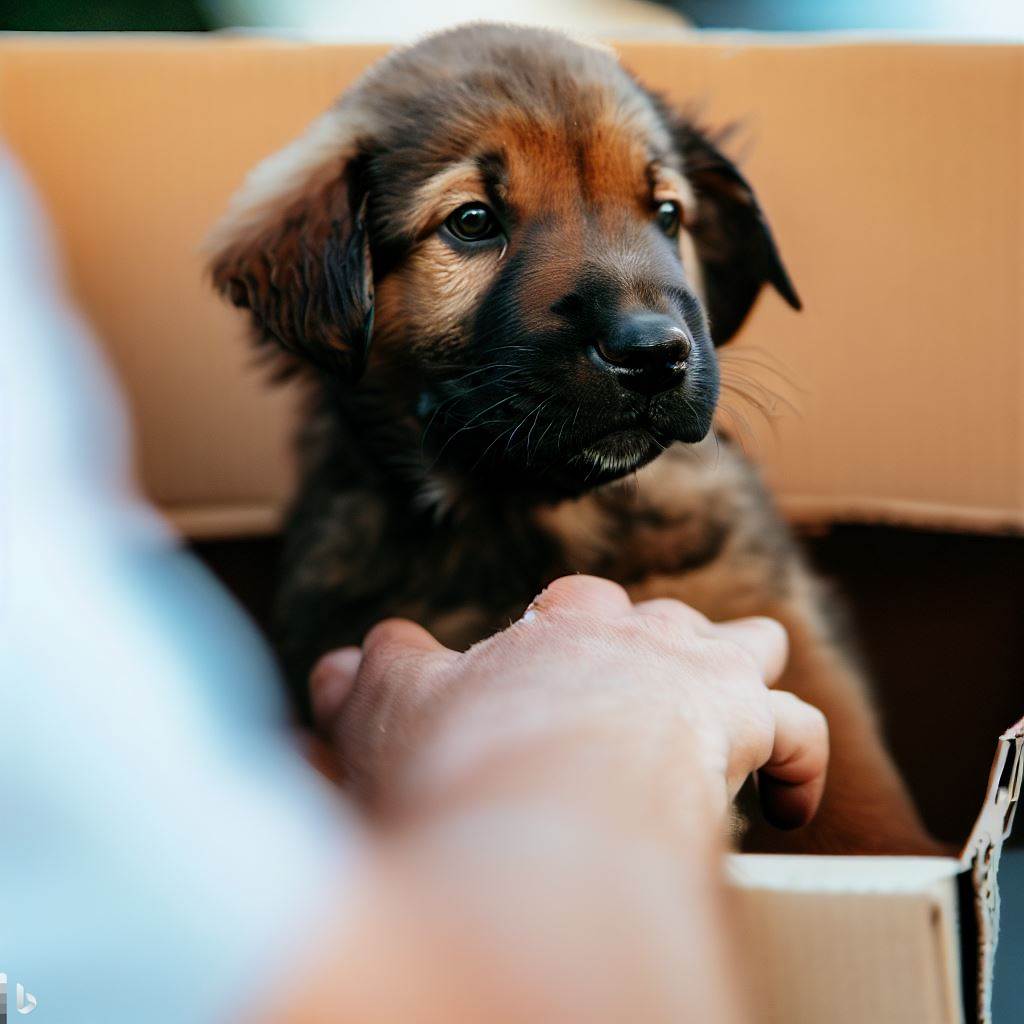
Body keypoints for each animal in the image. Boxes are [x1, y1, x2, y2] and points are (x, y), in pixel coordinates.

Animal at [209, 24, 937, 856]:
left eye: (667, 213)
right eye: (471, 222)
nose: (654, 355)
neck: (535, 518)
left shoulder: (786, 624)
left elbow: (860, 801)